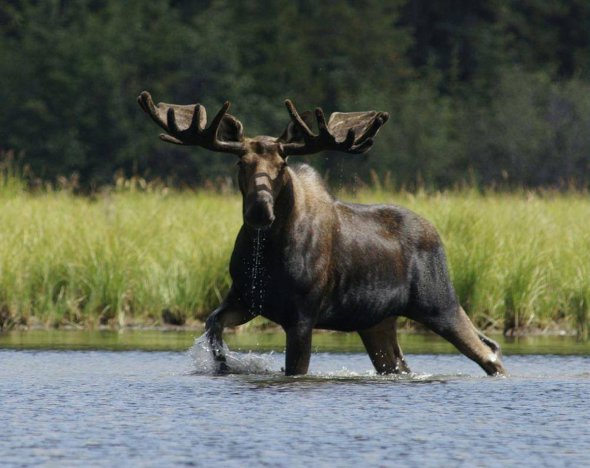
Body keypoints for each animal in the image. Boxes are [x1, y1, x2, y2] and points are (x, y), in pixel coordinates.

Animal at [139, 91, 508, 376]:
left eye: (282, 166)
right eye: (240, 163)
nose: (260, 210)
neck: (268, 252)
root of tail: (437, 235)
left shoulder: (302, 316)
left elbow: (295, 369)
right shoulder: (246, 299)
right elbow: (212, 326)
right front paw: (225, 364)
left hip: (439, 303)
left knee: (489, 352)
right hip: (377, 321)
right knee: (401, 364)